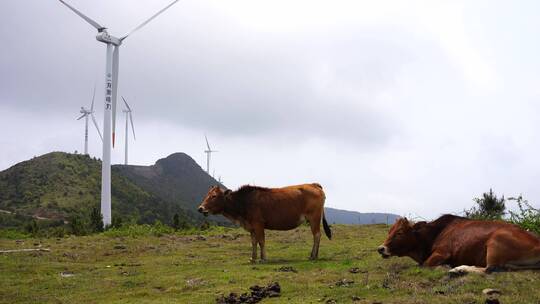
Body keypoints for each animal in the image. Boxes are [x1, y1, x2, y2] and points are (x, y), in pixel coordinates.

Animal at [198, 183, 334, 262]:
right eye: (207, 195)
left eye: (214, 196)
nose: (200, 208)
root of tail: (314, 184)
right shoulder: (251, 226)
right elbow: (253, 242)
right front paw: (253, 258)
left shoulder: (258, 224)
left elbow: (261, 241)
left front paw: (263, 258)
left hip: (314, 218)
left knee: (317, 235)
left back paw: (313, 256)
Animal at [378, 214, 540, 274]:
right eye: (389, 231)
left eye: (399, 232)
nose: (380, 249)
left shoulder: (442, 252)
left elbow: (425, 265)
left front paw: (446, 266)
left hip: (495, 242)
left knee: (488, 269)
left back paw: (458, 269)